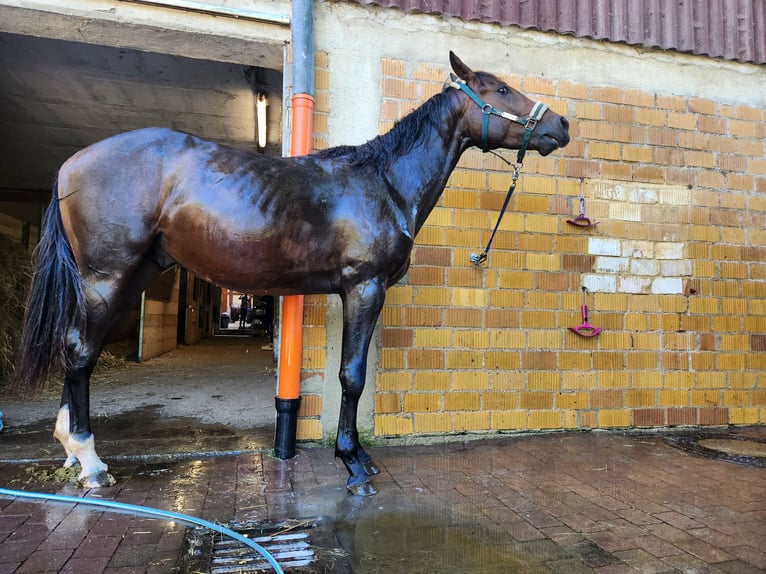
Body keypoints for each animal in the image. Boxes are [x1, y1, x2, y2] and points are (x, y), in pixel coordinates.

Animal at [16, 51, 568, 498]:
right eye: (500, 90)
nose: (560, 124)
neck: (385, 182)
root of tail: (71, 164)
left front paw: (359, 457)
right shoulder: (363, 287)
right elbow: (351, 376)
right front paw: (353, 464)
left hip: (126, 277)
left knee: (79, 349)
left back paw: (71, 448)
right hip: (106, 276)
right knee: (80, 351)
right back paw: (91, 462)